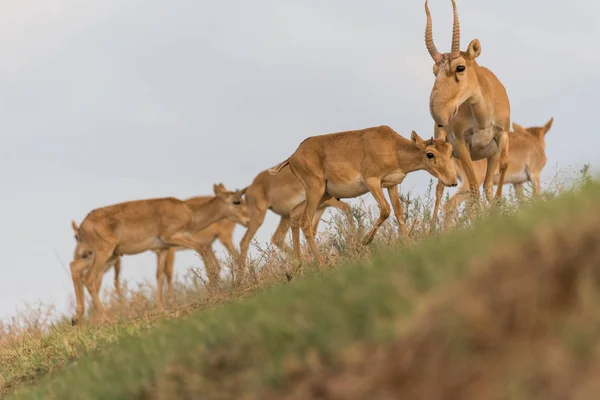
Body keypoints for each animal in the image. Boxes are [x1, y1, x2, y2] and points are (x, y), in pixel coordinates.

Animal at [70, 184, 248, 324]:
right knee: (89, 279)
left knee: (75, 267)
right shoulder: (173, 238)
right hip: (104, 254)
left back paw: (76, 317)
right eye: (236, 201)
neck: (189, 212)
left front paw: (161, 308)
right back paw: (107, 319)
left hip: (106, 255)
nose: (247, 220)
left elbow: (160, 274)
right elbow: (202, 252)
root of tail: (81, 228)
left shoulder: (163, 248)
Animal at [270, 125, 458, 266]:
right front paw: (363, 243)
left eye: (450, 151)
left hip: (323, 194)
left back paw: (297, 268)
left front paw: (408, 245)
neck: (393, 148)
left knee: (295, 215)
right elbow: (385, 210)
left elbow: (399, 213)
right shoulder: (372, 181)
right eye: (430, 154)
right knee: (305, 222)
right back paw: (322, 266)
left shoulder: (391, 185)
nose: (453, 181)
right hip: (315, 191)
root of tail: (292, 157)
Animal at [422, 0, 510, 205]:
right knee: (440, 190)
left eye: (460, 67)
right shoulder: (462, 146)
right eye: (434, 70)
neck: (483, 119)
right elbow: (474, 188)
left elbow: (490, 184)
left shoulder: (500, 139)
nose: (439, 115)